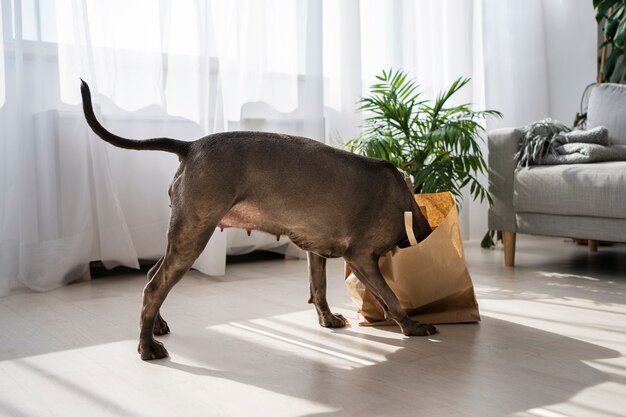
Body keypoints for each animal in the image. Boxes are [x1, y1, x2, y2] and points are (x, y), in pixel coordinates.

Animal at [79, 79, 434, 360]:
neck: (404, 201)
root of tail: (191, 146)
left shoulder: (316, 250)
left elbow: (318, 287)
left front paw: (329, 320)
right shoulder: (360, 256)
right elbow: (390, 296)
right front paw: (412, 326)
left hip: (184, 233)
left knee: (154, 274)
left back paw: (158, 326)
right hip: (194, 233)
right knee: (154, 287)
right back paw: (147, 348)